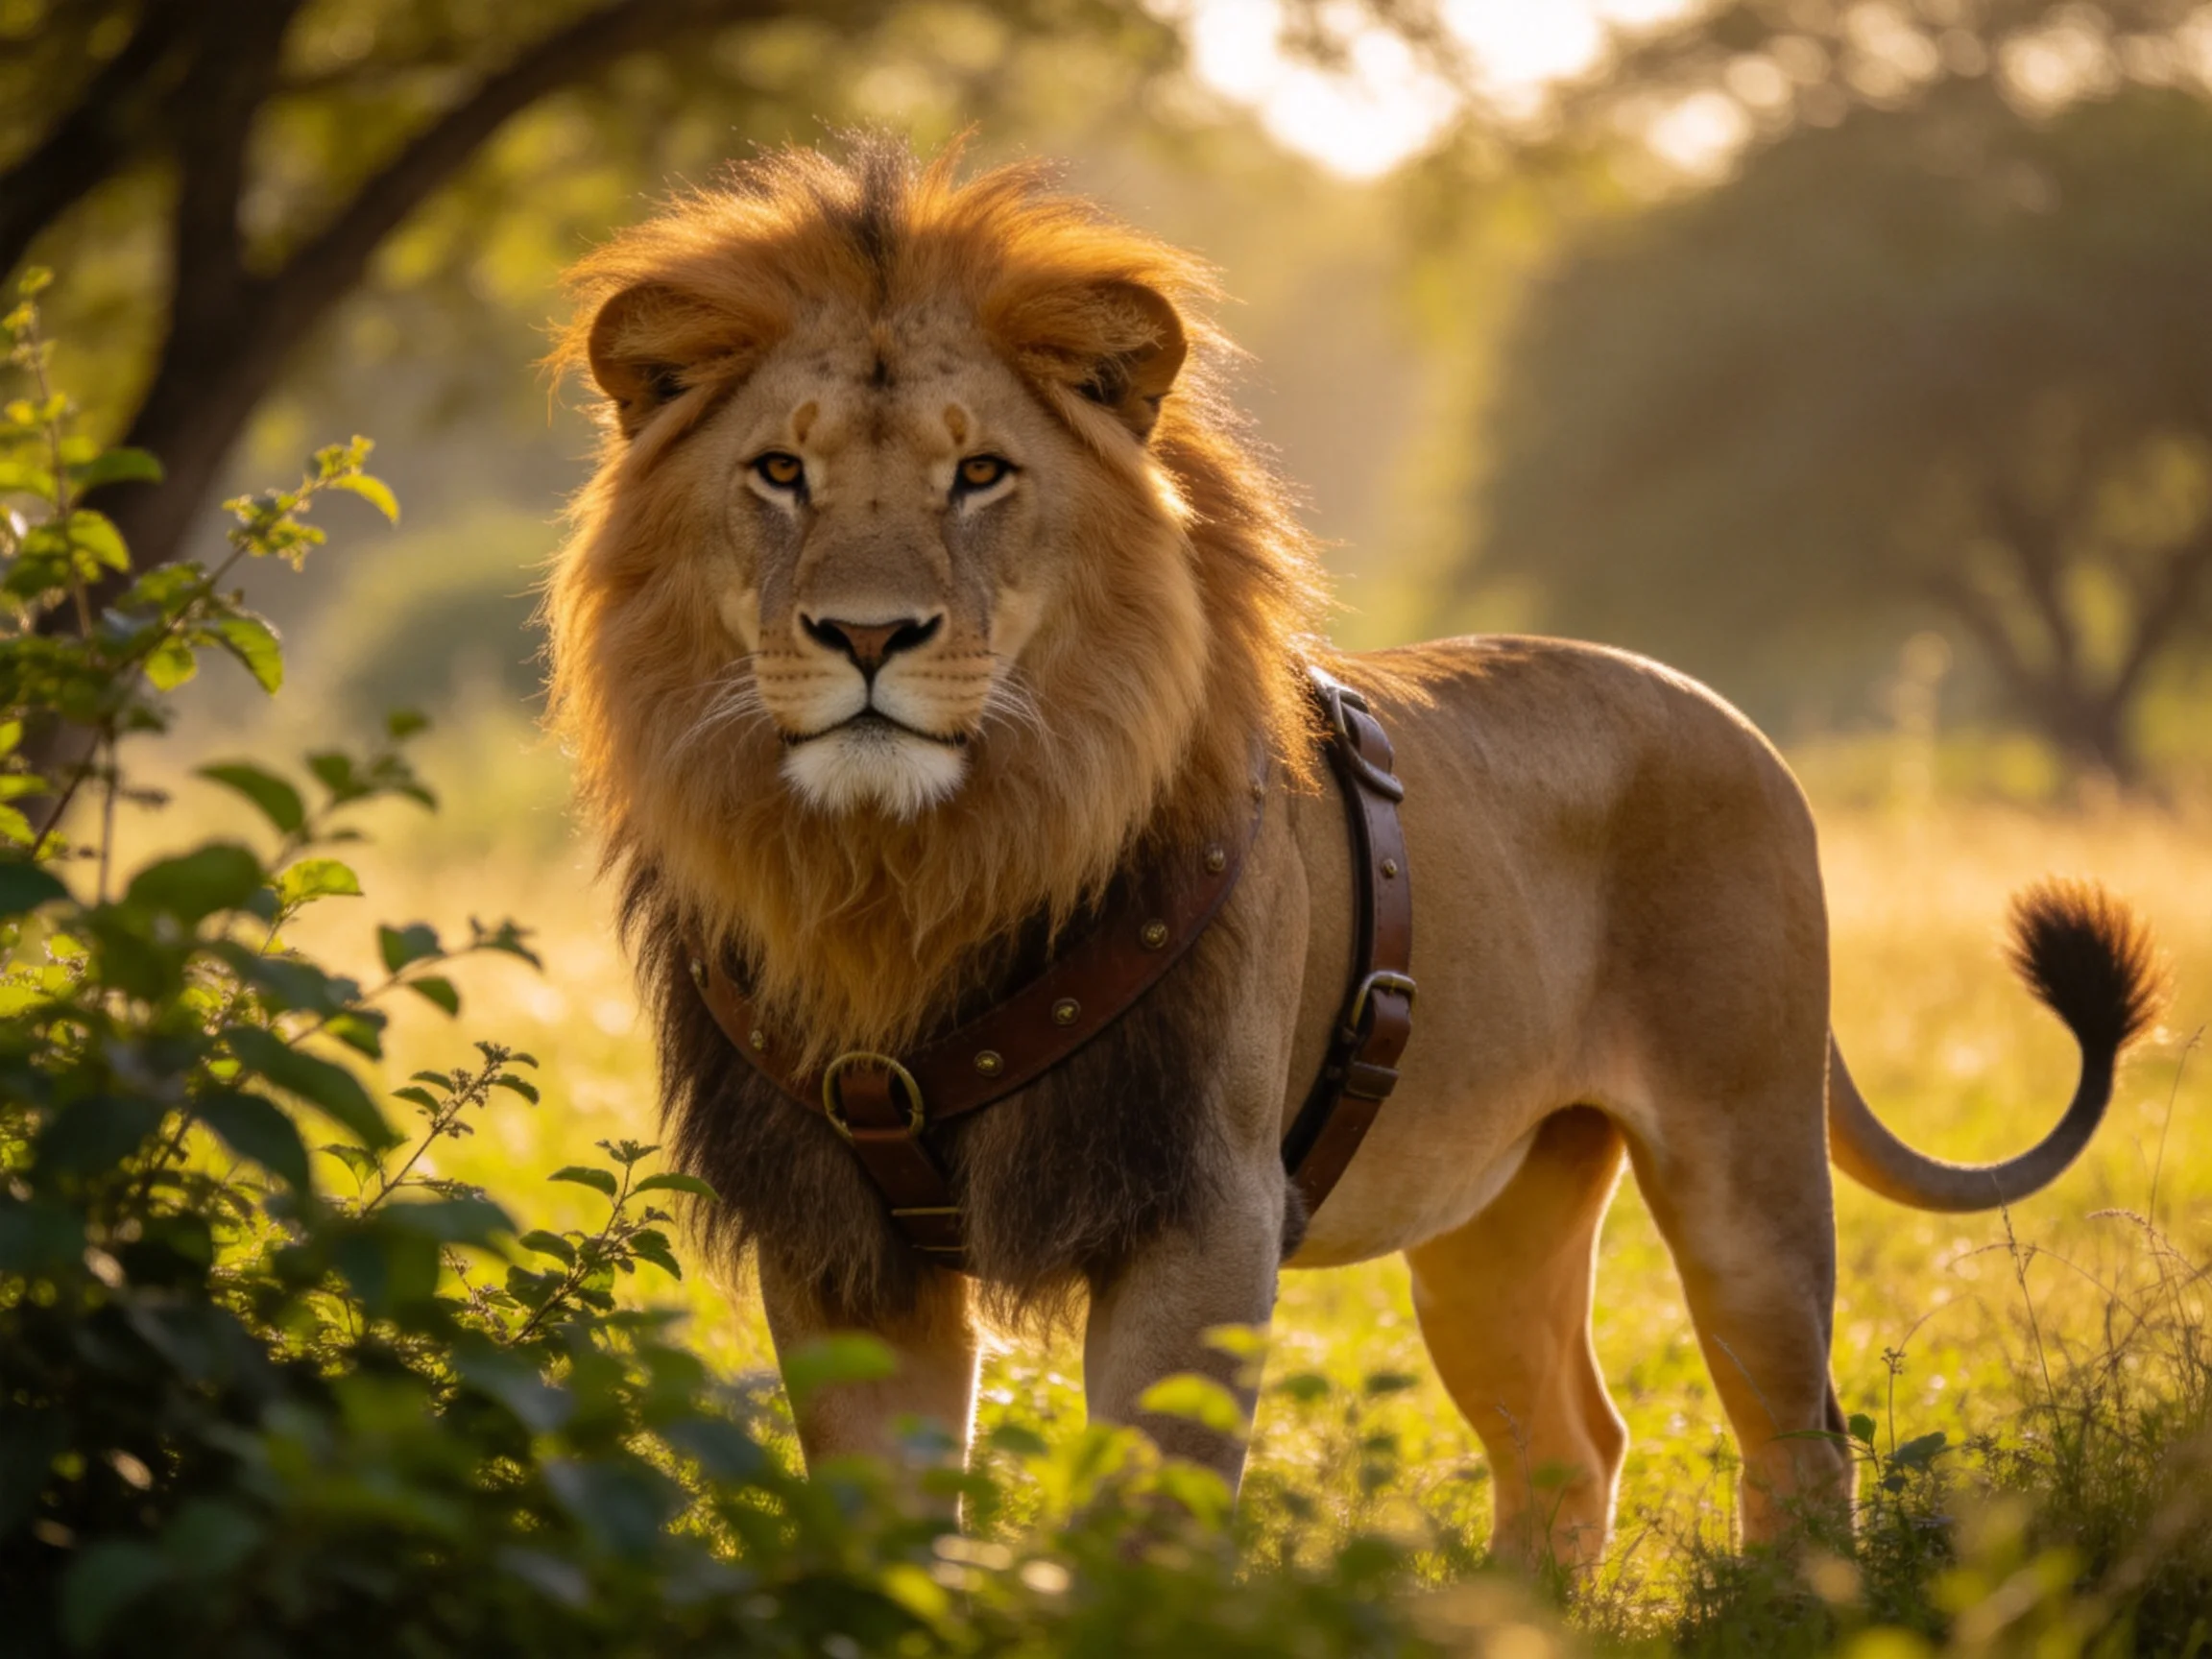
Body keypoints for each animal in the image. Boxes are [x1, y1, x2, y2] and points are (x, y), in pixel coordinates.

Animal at [546, 138, 2164, 1567]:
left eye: (983, 475)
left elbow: (1145, 1529)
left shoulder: (1200, 1213)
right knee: (1572, 1447)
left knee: (1800, 1440)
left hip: (1745, 1165)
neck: (909, 875)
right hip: (1495, 1215)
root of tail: (1725, 714)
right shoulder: (841, 1242)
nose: (867, 636)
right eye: (778, 473)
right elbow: (880, 1528)